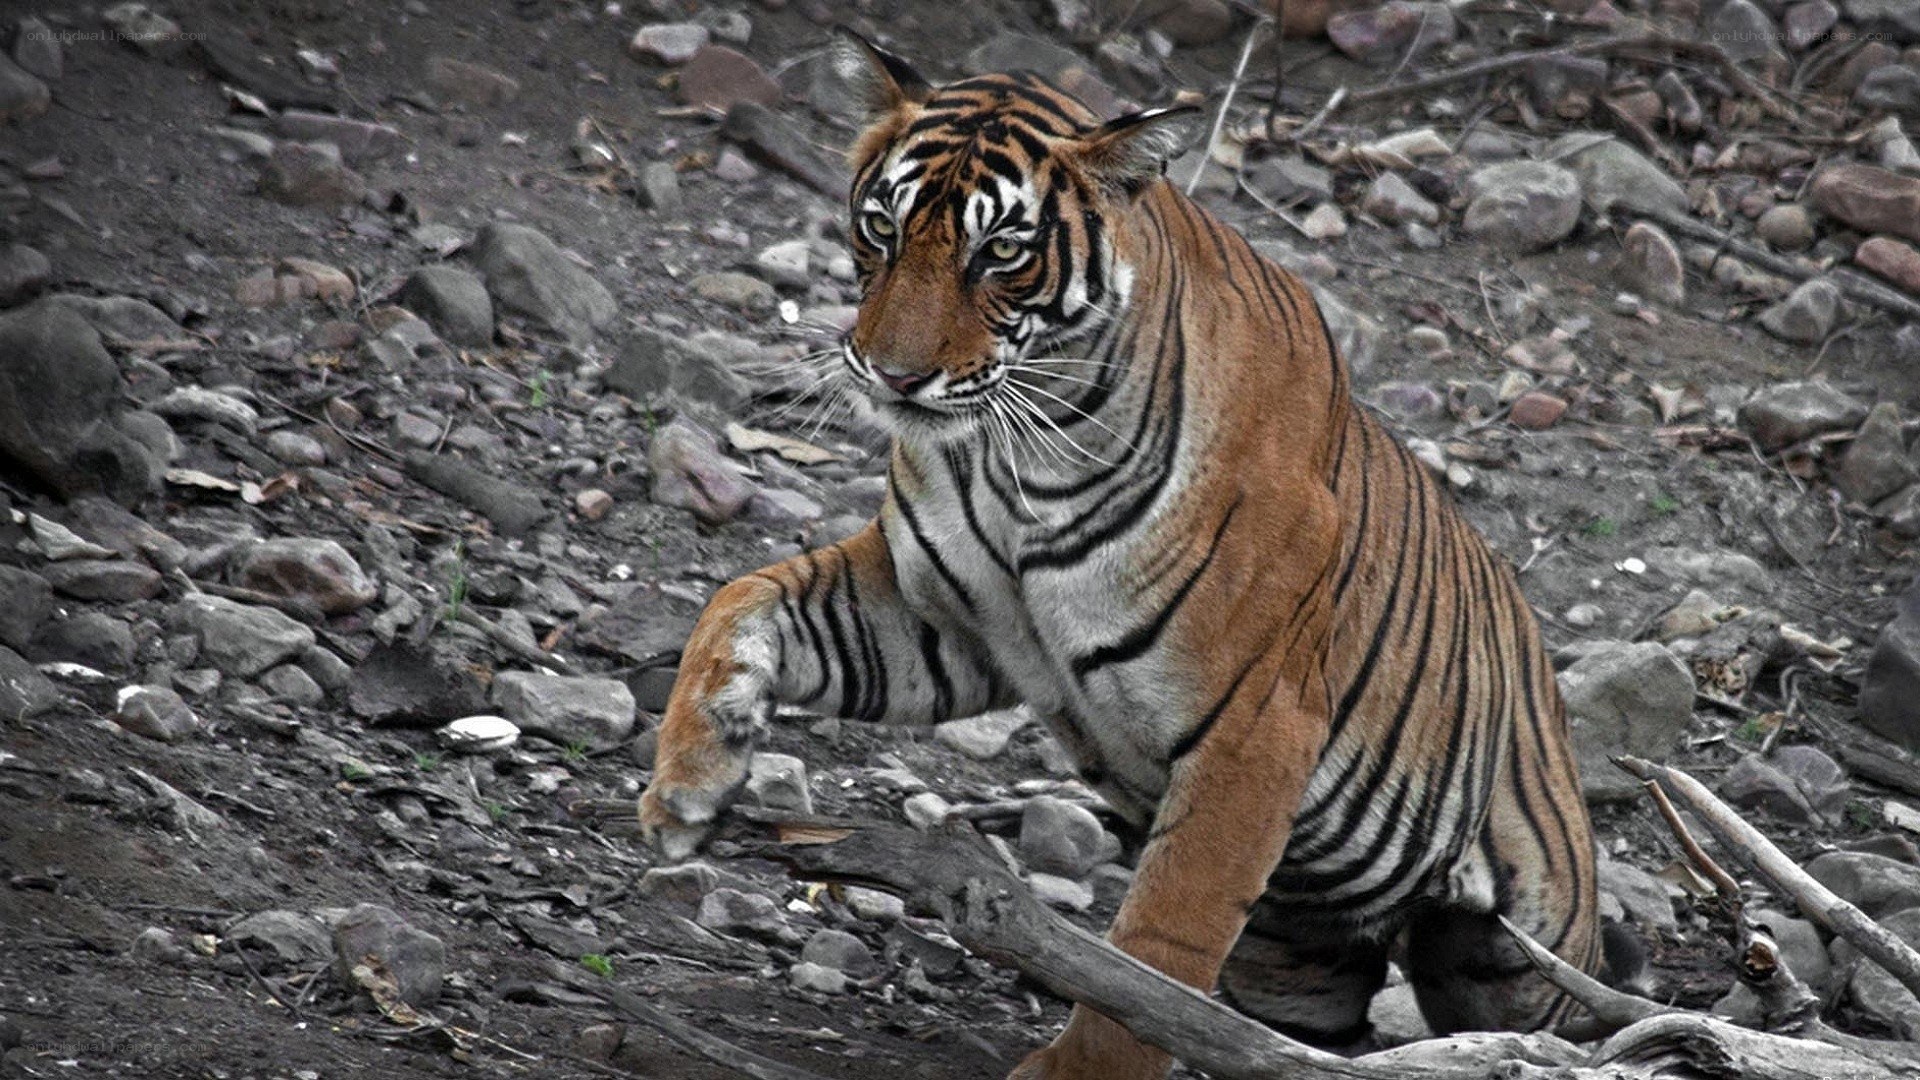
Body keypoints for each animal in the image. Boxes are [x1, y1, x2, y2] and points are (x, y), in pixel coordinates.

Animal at [639, 29, 1603, 1079]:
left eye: (1000, 251)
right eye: (881, 227)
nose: (893, 375)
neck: (1016, 456)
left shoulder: (1255, 730)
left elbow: (1155, 951)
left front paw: (1086, 1063)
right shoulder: (933, 619)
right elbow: (741, 595)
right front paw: (687, 788)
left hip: (1518, 951)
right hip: (1299, 957)